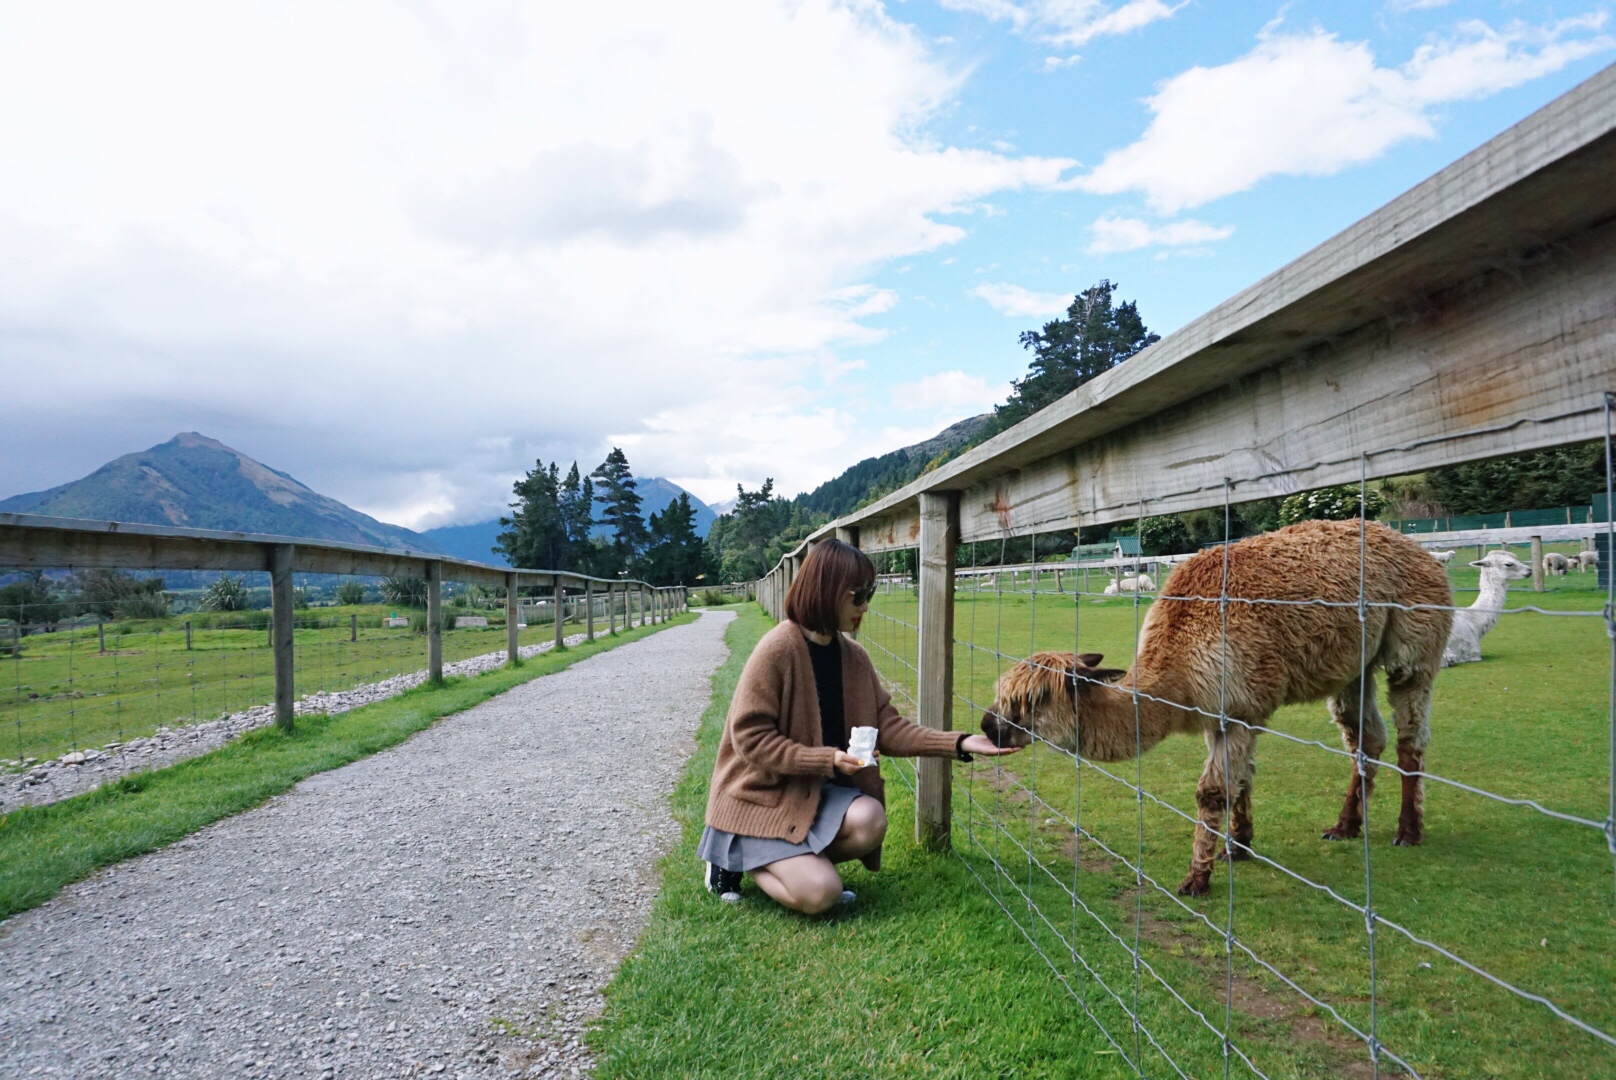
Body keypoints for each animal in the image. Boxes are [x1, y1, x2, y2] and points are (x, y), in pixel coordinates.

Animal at [976, 517, 1460, 898]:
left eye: (1030, 701)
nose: (987, 725)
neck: (1178, 670)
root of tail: (1418, 547)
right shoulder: (1218, 713)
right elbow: (1241, 781)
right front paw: (1237, 846)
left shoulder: (1240, 705)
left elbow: (1213, 791)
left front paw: (1197, 878)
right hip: (1352, 665)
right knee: (1365, 737)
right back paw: (1345, 826)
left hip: (1415, 638)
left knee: (1409, 734)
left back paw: (1408, 830)